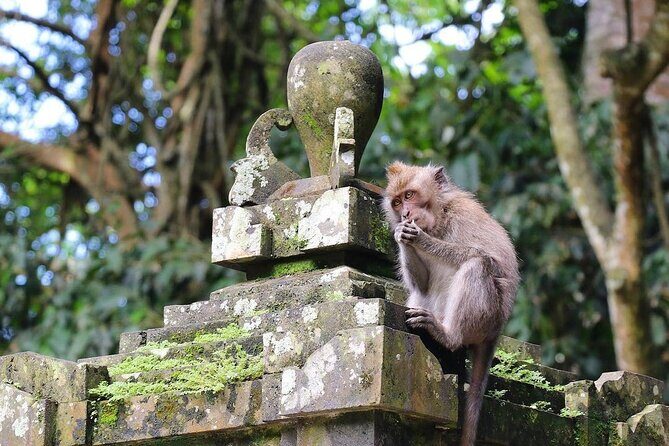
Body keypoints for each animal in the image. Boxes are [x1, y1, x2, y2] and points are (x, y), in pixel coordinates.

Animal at [383, 161, 519, 446]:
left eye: (410, 195)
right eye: (397, 202)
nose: (405, 214)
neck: (440, 219)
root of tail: (496, 331)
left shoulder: (464, 216)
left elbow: (493, 263)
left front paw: (421, 239)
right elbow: (421, 284)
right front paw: (402, 235)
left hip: (486, 318)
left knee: (476, 265)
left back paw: (448, 335)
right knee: (421, 294)